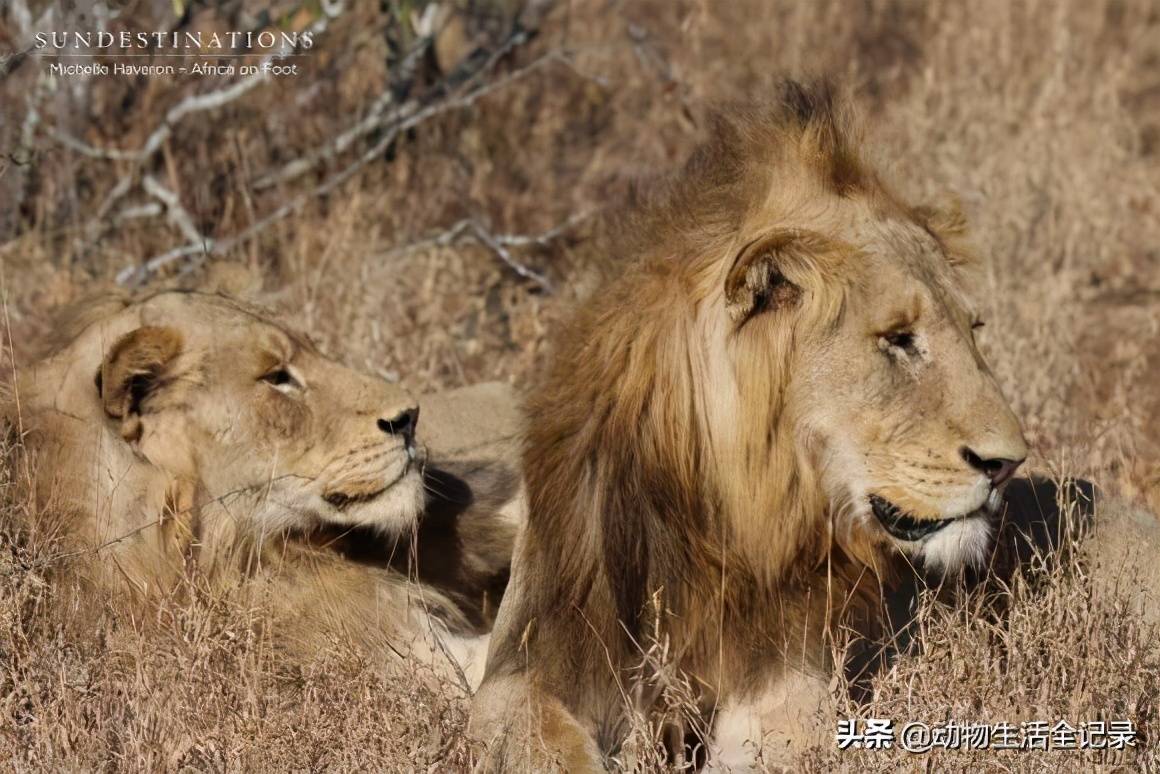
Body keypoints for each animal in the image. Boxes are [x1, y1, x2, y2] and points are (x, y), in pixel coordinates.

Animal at [466, 81, 1030, 770]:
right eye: (898, 339)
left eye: (974, 330)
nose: (1009, 463)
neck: (719, 525)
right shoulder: (530, 662)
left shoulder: (789, 679)